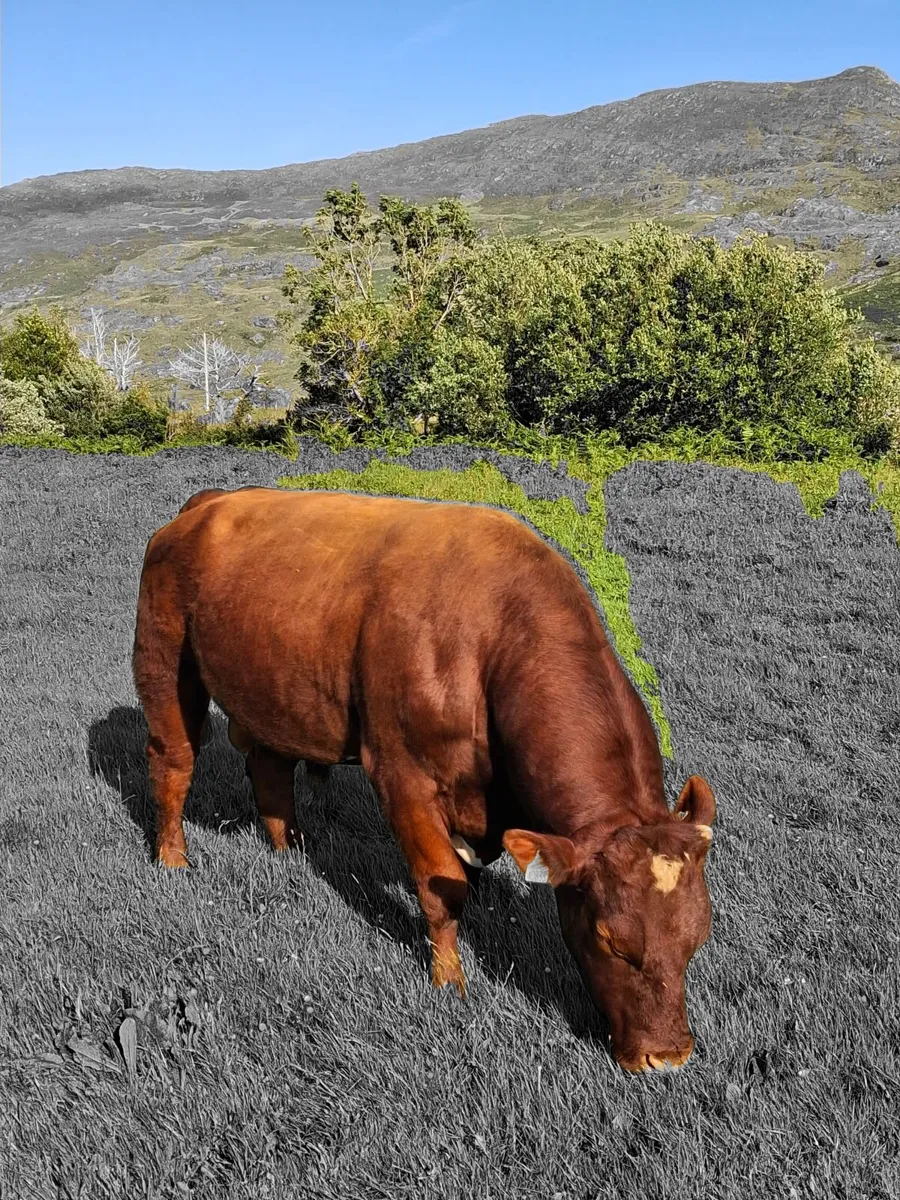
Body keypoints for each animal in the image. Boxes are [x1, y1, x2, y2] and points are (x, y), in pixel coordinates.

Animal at [132, 486, 716, 1073]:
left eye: (698, 939)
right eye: (610, 940)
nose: (668, 1056)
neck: (491, 640)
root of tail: (212, 501)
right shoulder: (403, 776)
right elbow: (443, 887)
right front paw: (448, 982)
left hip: (274, 692)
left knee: (270, 771)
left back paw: (288, 852)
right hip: (164, 665)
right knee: (173, 763)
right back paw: (173, 857)